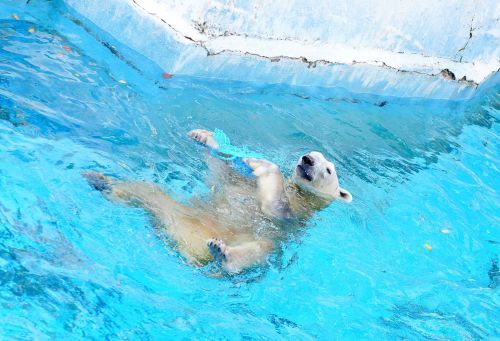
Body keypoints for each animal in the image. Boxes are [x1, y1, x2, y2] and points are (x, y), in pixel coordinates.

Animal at [84, 129, 352, 272]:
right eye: (311, 154)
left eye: (328, 169)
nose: (307, 159)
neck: (300, 194)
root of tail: (187, 247)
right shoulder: (242, 185)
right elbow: (223, 173)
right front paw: (204, 137)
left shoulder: (293, 218)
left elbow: (275, 209)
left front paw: (261, 164)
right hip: (172, 210)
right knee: (145, 190)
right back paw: (102, 181)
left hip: (264, 242)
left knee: (258, 249)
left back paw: (222, 252)